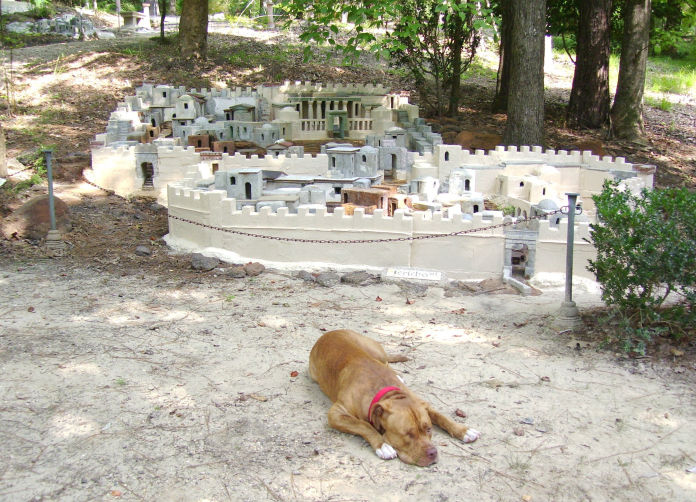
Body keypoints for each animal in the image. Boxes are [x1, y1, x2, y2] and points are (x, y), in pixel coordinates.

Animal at [310, 330, 478, 466]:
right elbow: (363, 425)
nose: (433, 453)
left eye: (429, 429)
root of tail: (329, 332)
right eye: (408, 434)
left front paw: (463, 430)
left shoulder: (421, 403)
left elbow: (441, 416)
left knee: (386, 362)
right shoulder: (336, 414)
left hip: (375, 351)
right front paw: (382, 445)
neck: (385, 391)